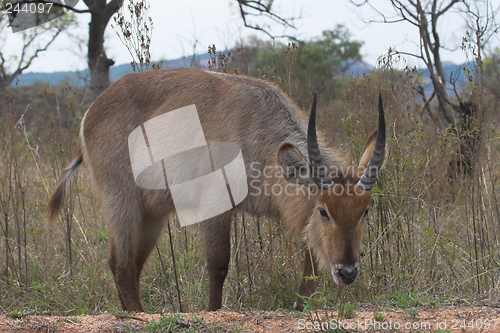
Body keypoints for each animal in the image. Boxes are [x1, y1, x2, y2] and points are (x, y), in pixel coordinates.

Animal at [47, 68, 384, 312]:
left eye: (365, 211)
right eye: (324, 211)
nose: (348, 272)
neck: (257, 131)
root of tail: (91, 112)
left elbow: (310, 267)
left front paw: (301, 309)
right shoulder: (215, 205)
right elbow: (218, 265)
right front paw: (213, 312)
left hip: (151, 213)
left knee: (132, 264)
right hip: (121, 199)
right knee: (119, 263)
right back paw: (137, 316)